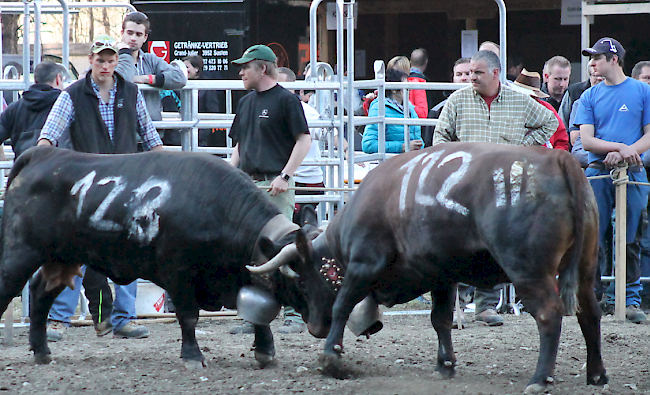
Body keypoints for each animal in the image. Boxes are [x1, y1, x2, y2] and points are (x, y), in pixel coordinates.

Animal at [0, 147, 314, 370]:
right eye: (300, 279)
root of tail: (43, 154)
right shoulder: (178, 273)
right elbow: (188, 317)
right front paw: (192, 356)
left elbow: (258, 315)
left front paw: (265, 351)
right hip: (21, 253)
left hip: (61, 257)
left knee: (41, 292)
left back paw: (42, 351)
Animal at [253, 144, 608, 394]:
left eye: (302, 282)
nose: (315, 328)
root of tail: (557, 159)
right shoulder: (442, 276)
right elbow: (440, 320)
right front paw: (445, 364)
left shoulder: (364, 263)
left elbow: (342, 305)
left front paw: (331, 355)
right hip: (586, 269)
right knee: (589, 313)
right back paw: (596, 374)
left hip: (528, 271)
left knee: (549, 314)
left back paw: (540, 378)